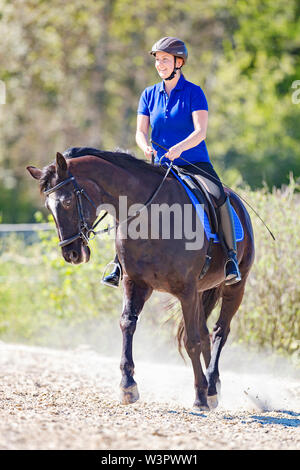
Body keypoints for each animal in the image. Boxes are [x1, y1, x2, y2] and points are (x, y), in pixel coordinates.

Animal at [27, 149, 254, 410]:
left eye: (66, 202)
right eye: (48, 206)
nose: (71, 254)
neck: (151, 218)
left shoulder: (185, 289)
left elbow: (191, 340)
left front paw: (199, 397)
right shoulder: (136, 283)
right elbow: (127, 323)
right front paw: (128, 385)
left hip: (235, 287)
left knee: (219, 332)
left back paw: (210, 386)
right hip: (199, 292)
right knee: (206, 333)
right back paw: (212, 389)